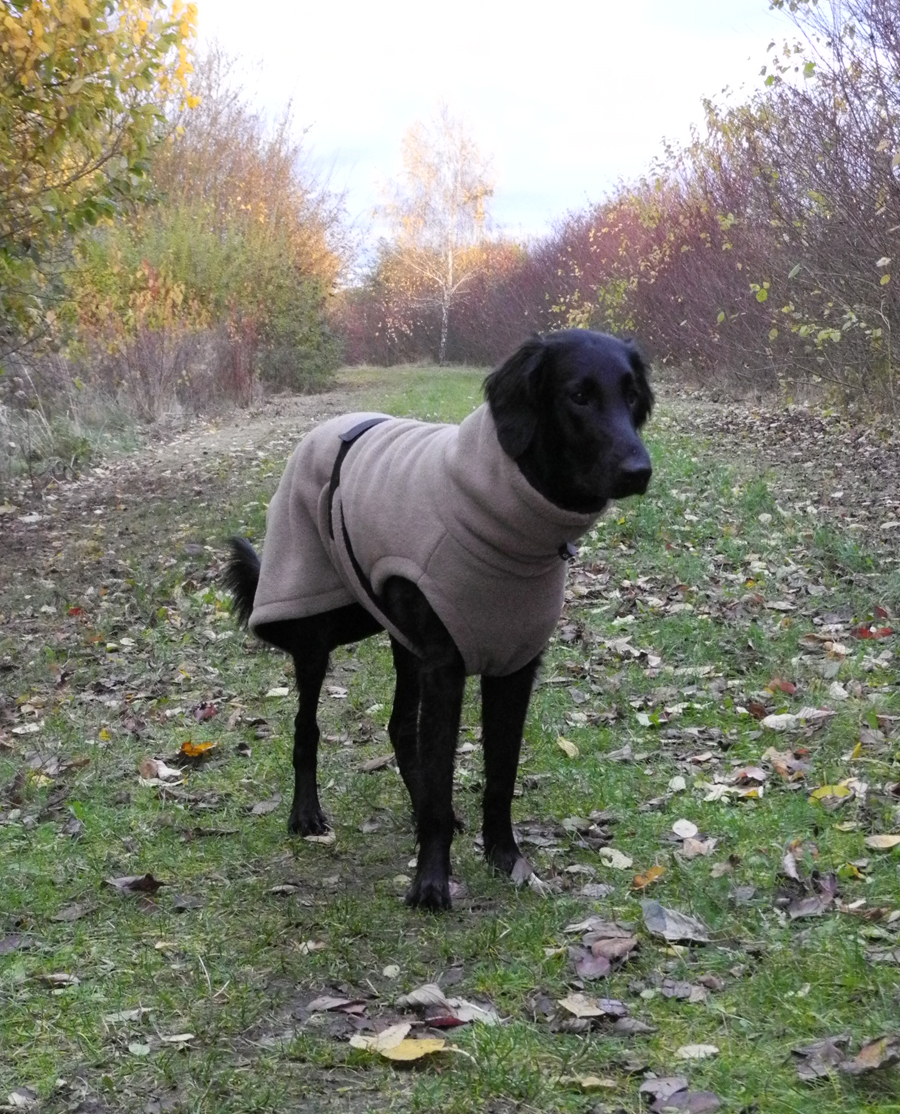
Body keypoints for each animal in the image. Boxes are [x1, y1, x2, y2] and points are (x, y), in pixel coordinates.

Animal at [221, 325, 650, 909]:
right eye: (578, 395)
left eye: (631, 395)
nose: (640, 471)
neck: (504, 522)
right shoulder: (446, 667)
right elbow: (444, 771)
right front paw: (430, 882)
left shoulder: (513, 667)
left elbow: (500, 777)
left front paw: (507, 859)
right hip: (317, 633)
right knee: (307, 726)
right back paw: (305, 814)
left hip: (403, 639)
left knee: (400, 726)